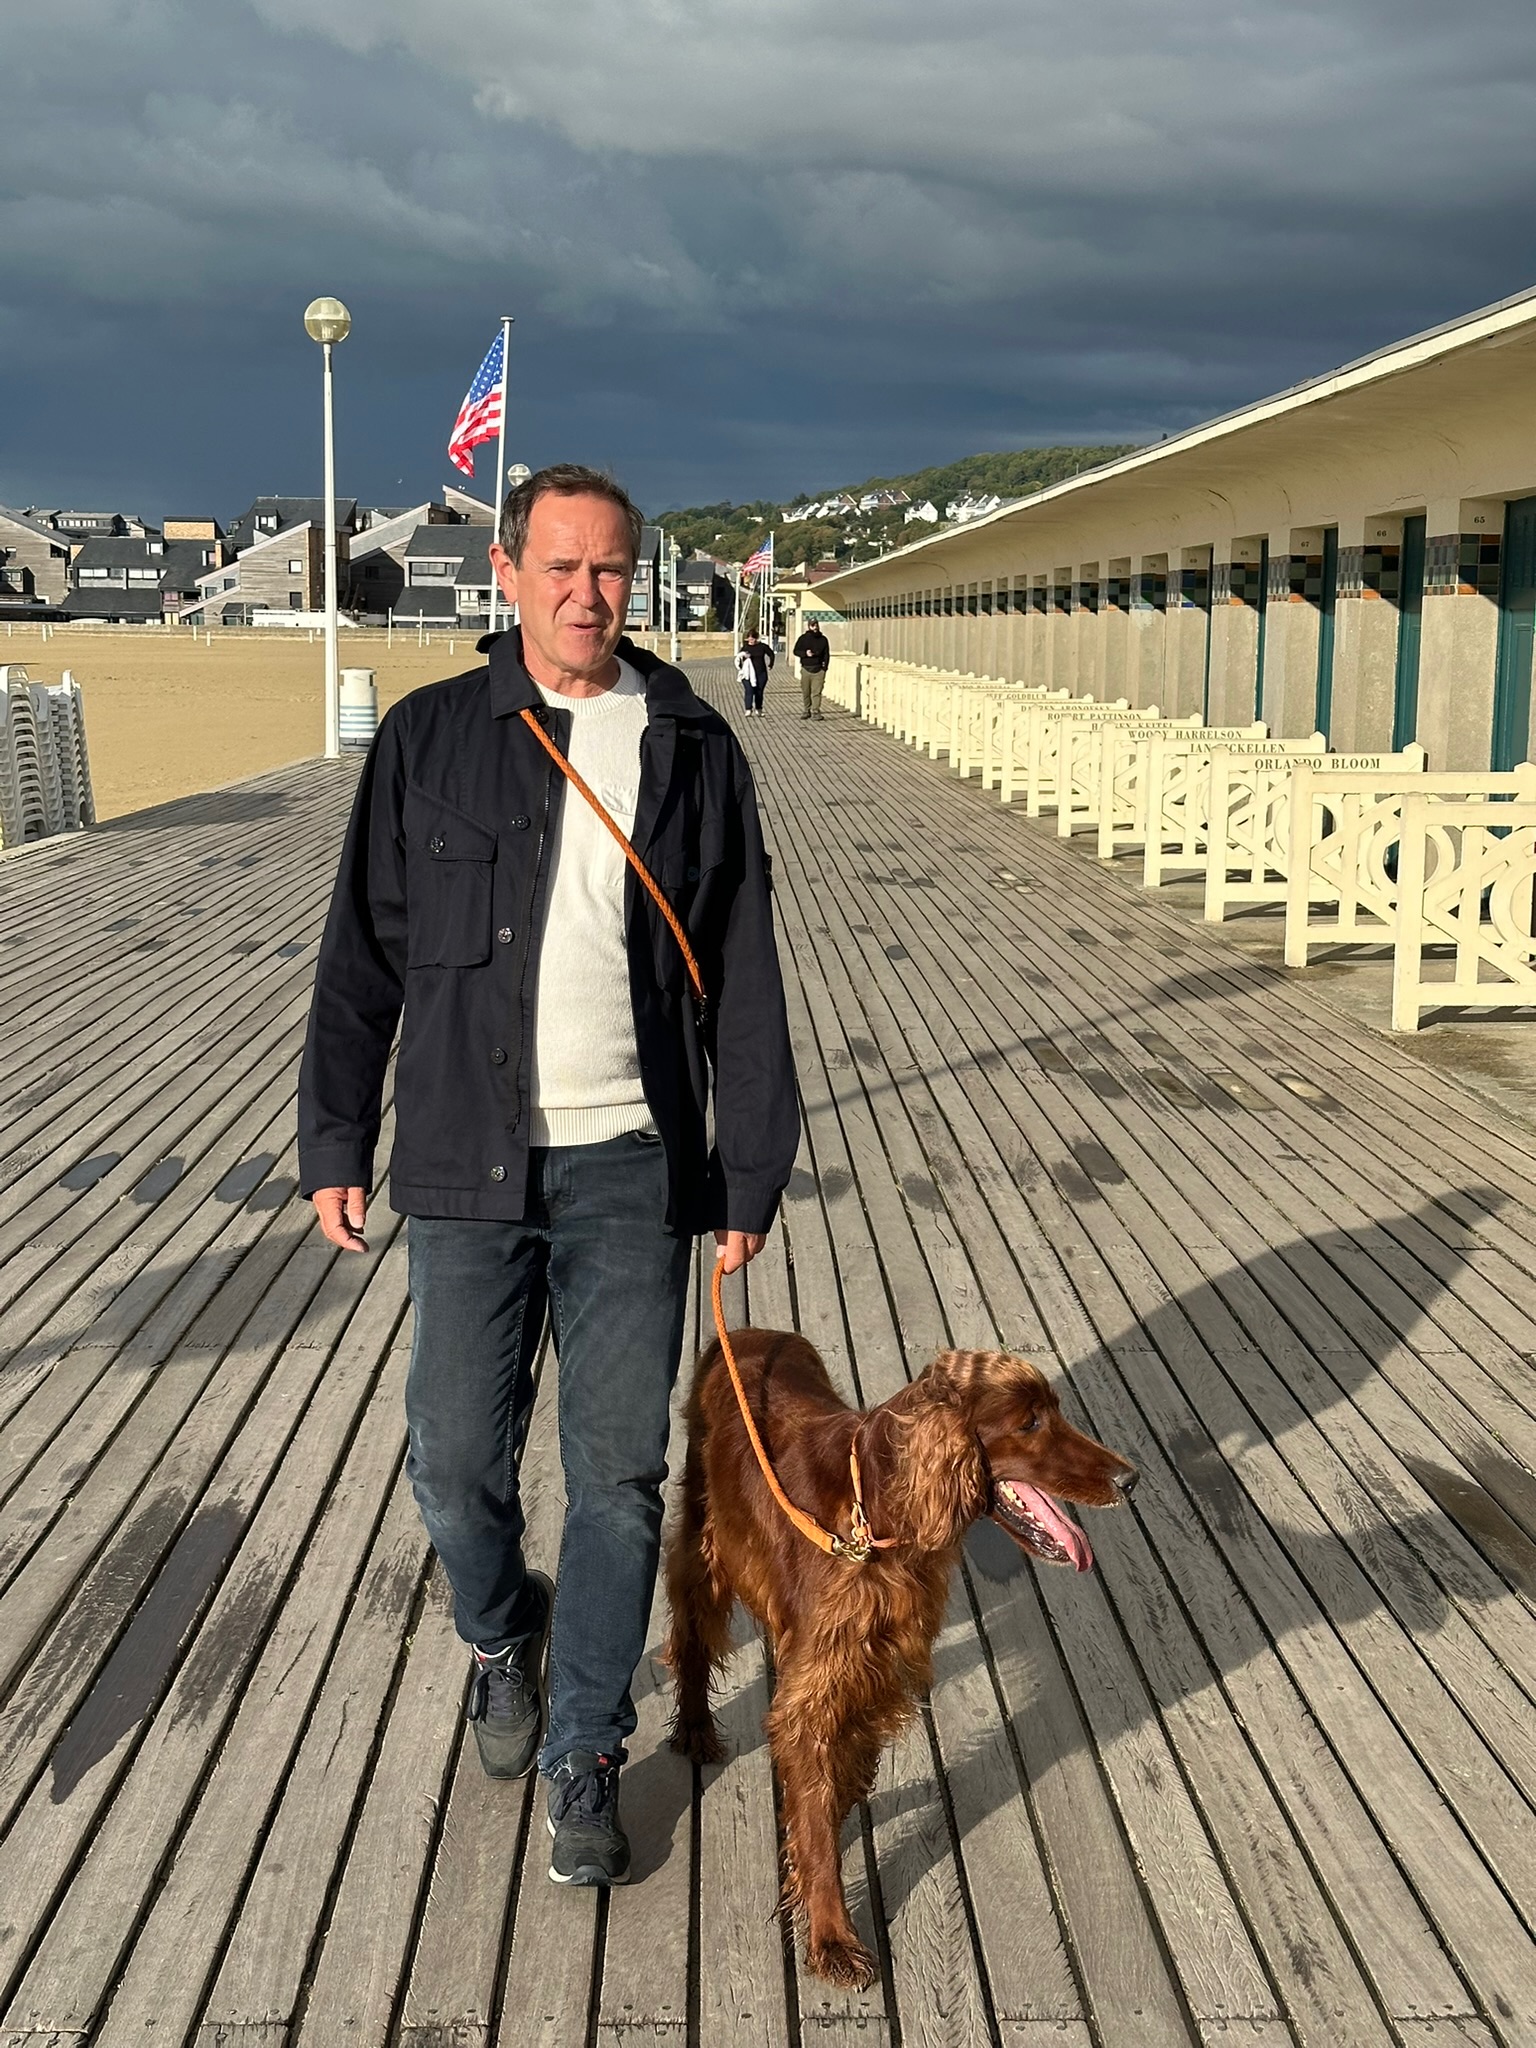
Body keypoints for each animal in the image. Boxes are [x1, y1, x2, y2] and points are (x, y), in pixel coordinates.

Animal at [664, 1326, 1137, 1991]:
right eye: (1030, 1422)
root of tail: (751, 1332)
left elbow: (840, 1780)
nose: (1131, 1478)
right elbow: (817, 1820)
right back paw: (695, 1729)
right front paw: (832, 1936)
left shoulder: (880, 1666)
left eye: (1057, 1411)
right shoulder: (817, 1689)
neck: (879, 1518)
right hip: (706, 1542)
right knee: (689, 1636)